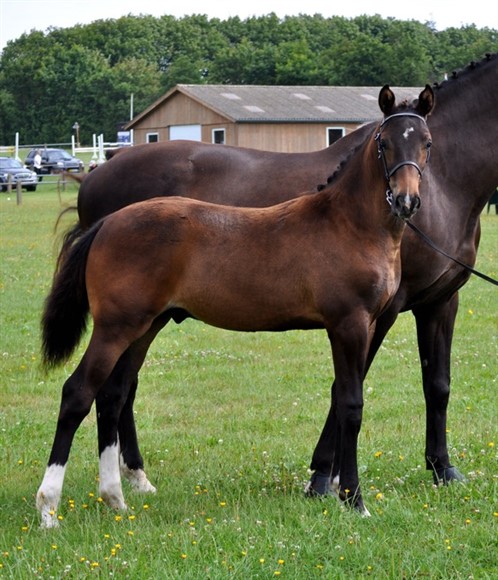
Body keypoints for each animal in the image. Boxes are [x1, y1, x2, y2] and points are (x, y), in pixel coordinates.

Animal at [56, 52, 496, 496]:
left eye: (428, 144)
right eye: (383, 144)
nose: (407, 202)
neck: (447, 184)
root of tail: (97, 174)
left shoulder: (441, 300)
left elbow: (437, 384)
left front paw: (442, 469)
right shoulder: (378, 312)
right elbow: (346, 392)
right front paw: (325, 476)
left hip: (147, 320)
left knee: (119, 389)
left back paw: (132, 477)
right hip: (130, 320)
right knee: (110, 388)